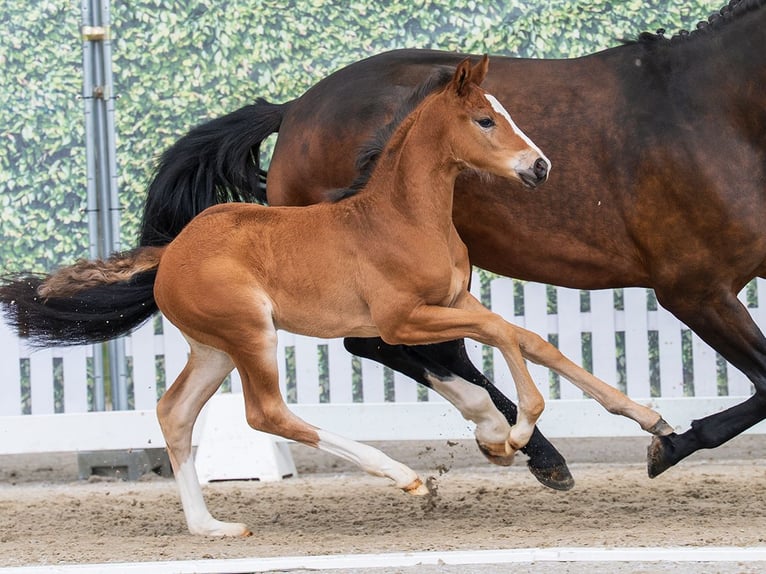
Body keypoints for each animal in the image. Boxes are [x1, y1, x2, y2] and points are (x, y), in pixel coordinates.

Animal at [0, 58, 672, 536]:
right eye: (486, 120)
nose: (540, 168)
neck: (403, 216)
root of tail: (170, 254)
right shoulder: (402, 321)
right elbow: (504, 336)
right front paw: (518, 431)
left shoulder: (456, 303)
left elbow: (528, 338)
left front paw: (650, 420)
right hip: (251, 334)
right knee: (265, 413)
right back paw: (406, 479)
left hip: (213, 349)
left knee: (174, 413)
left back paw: (211, 527)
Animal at [136, 0, 766, 483]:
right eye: (485, 120)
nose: (540, 166)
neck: (711, 114)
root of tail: (293, 109)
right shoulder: (694, 289)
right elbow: (765, 382)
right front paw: (668, 444)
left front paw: (656, 429)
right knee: (388, 344)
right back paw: (527, 446)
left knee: (429, 346)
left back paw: (510, 436)